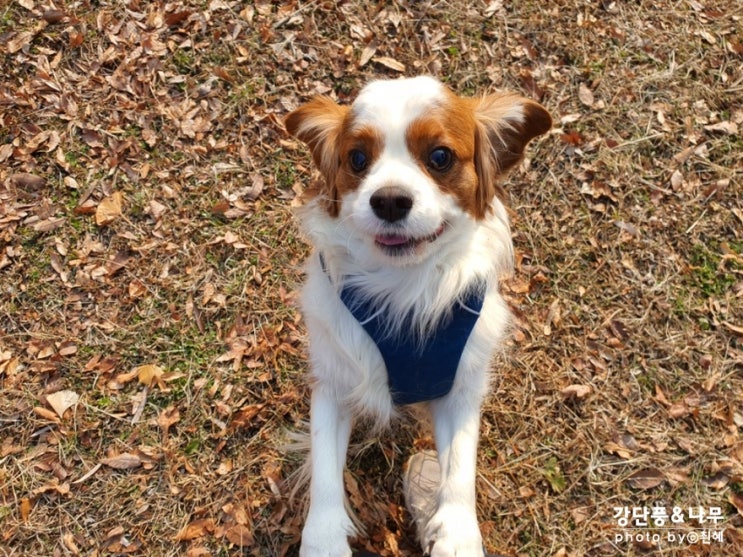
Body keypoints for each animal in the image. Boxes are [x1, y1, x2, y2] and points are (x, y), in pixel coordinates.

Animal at [284, 75, 552, 556]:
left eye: (440, 156)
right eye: (357, 158)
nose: (390, 201)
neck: (403, 287)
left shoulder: (459, 388)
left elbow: (460, 469)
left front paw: (458, 536)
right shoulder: (334, 382)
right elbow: (325, 475)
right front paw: (324, 541)